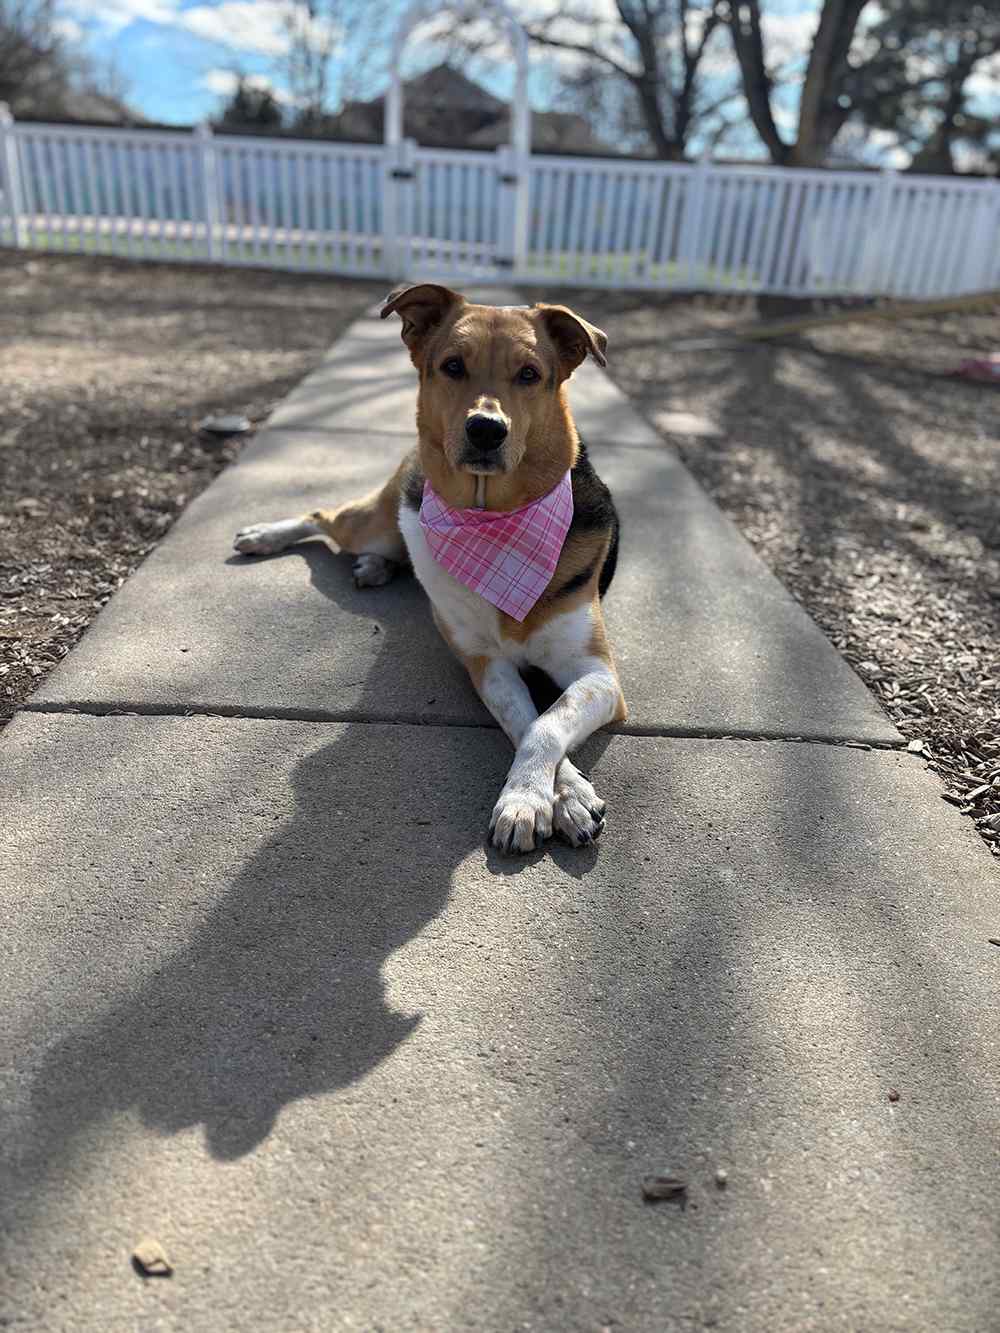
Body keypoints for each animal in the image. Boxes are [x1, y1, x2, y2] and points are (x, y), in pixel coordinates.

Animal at [234, 283, 626, 854]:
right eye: (452, 366)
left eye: (530, 374)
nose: (485, 429)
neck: (492, 523)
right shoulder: (485, 663)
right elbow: (526, 718)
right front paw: (544, 798)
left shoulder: (600, 676)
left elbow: (549, 722)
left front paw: (550, 795)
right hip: (372, 522)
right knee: (322, 517)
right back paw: (264, 535)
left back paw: (373, 566)